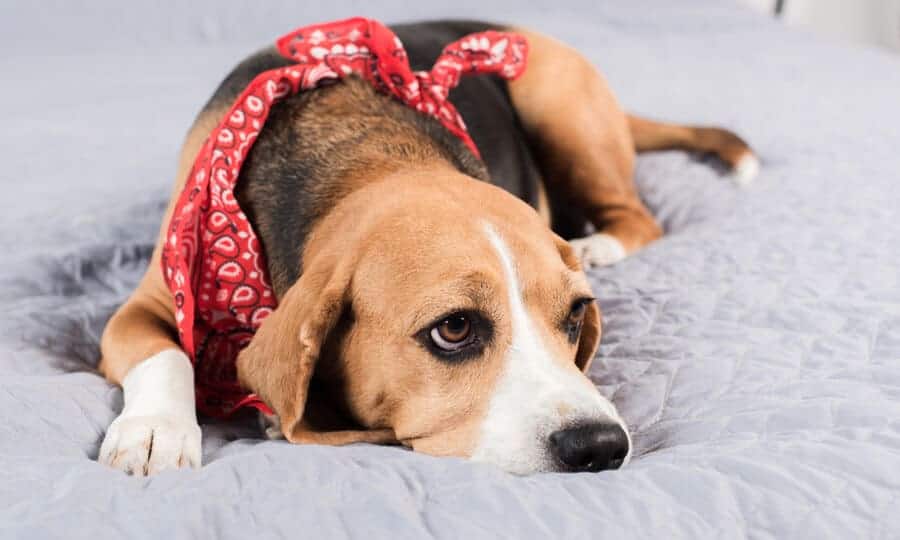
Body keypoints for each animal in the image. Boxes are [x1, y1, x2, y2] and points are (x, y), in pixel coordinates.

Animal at [96, 21, 760, 476]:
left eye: (575, 316)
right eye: (455, 328)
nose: (602, 446)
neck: (369, 157)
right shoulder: (142, 307)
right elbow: (167, 356)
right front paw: (156, 430)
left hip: (556, 99)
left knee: (640, 214)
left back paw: (600, 243)